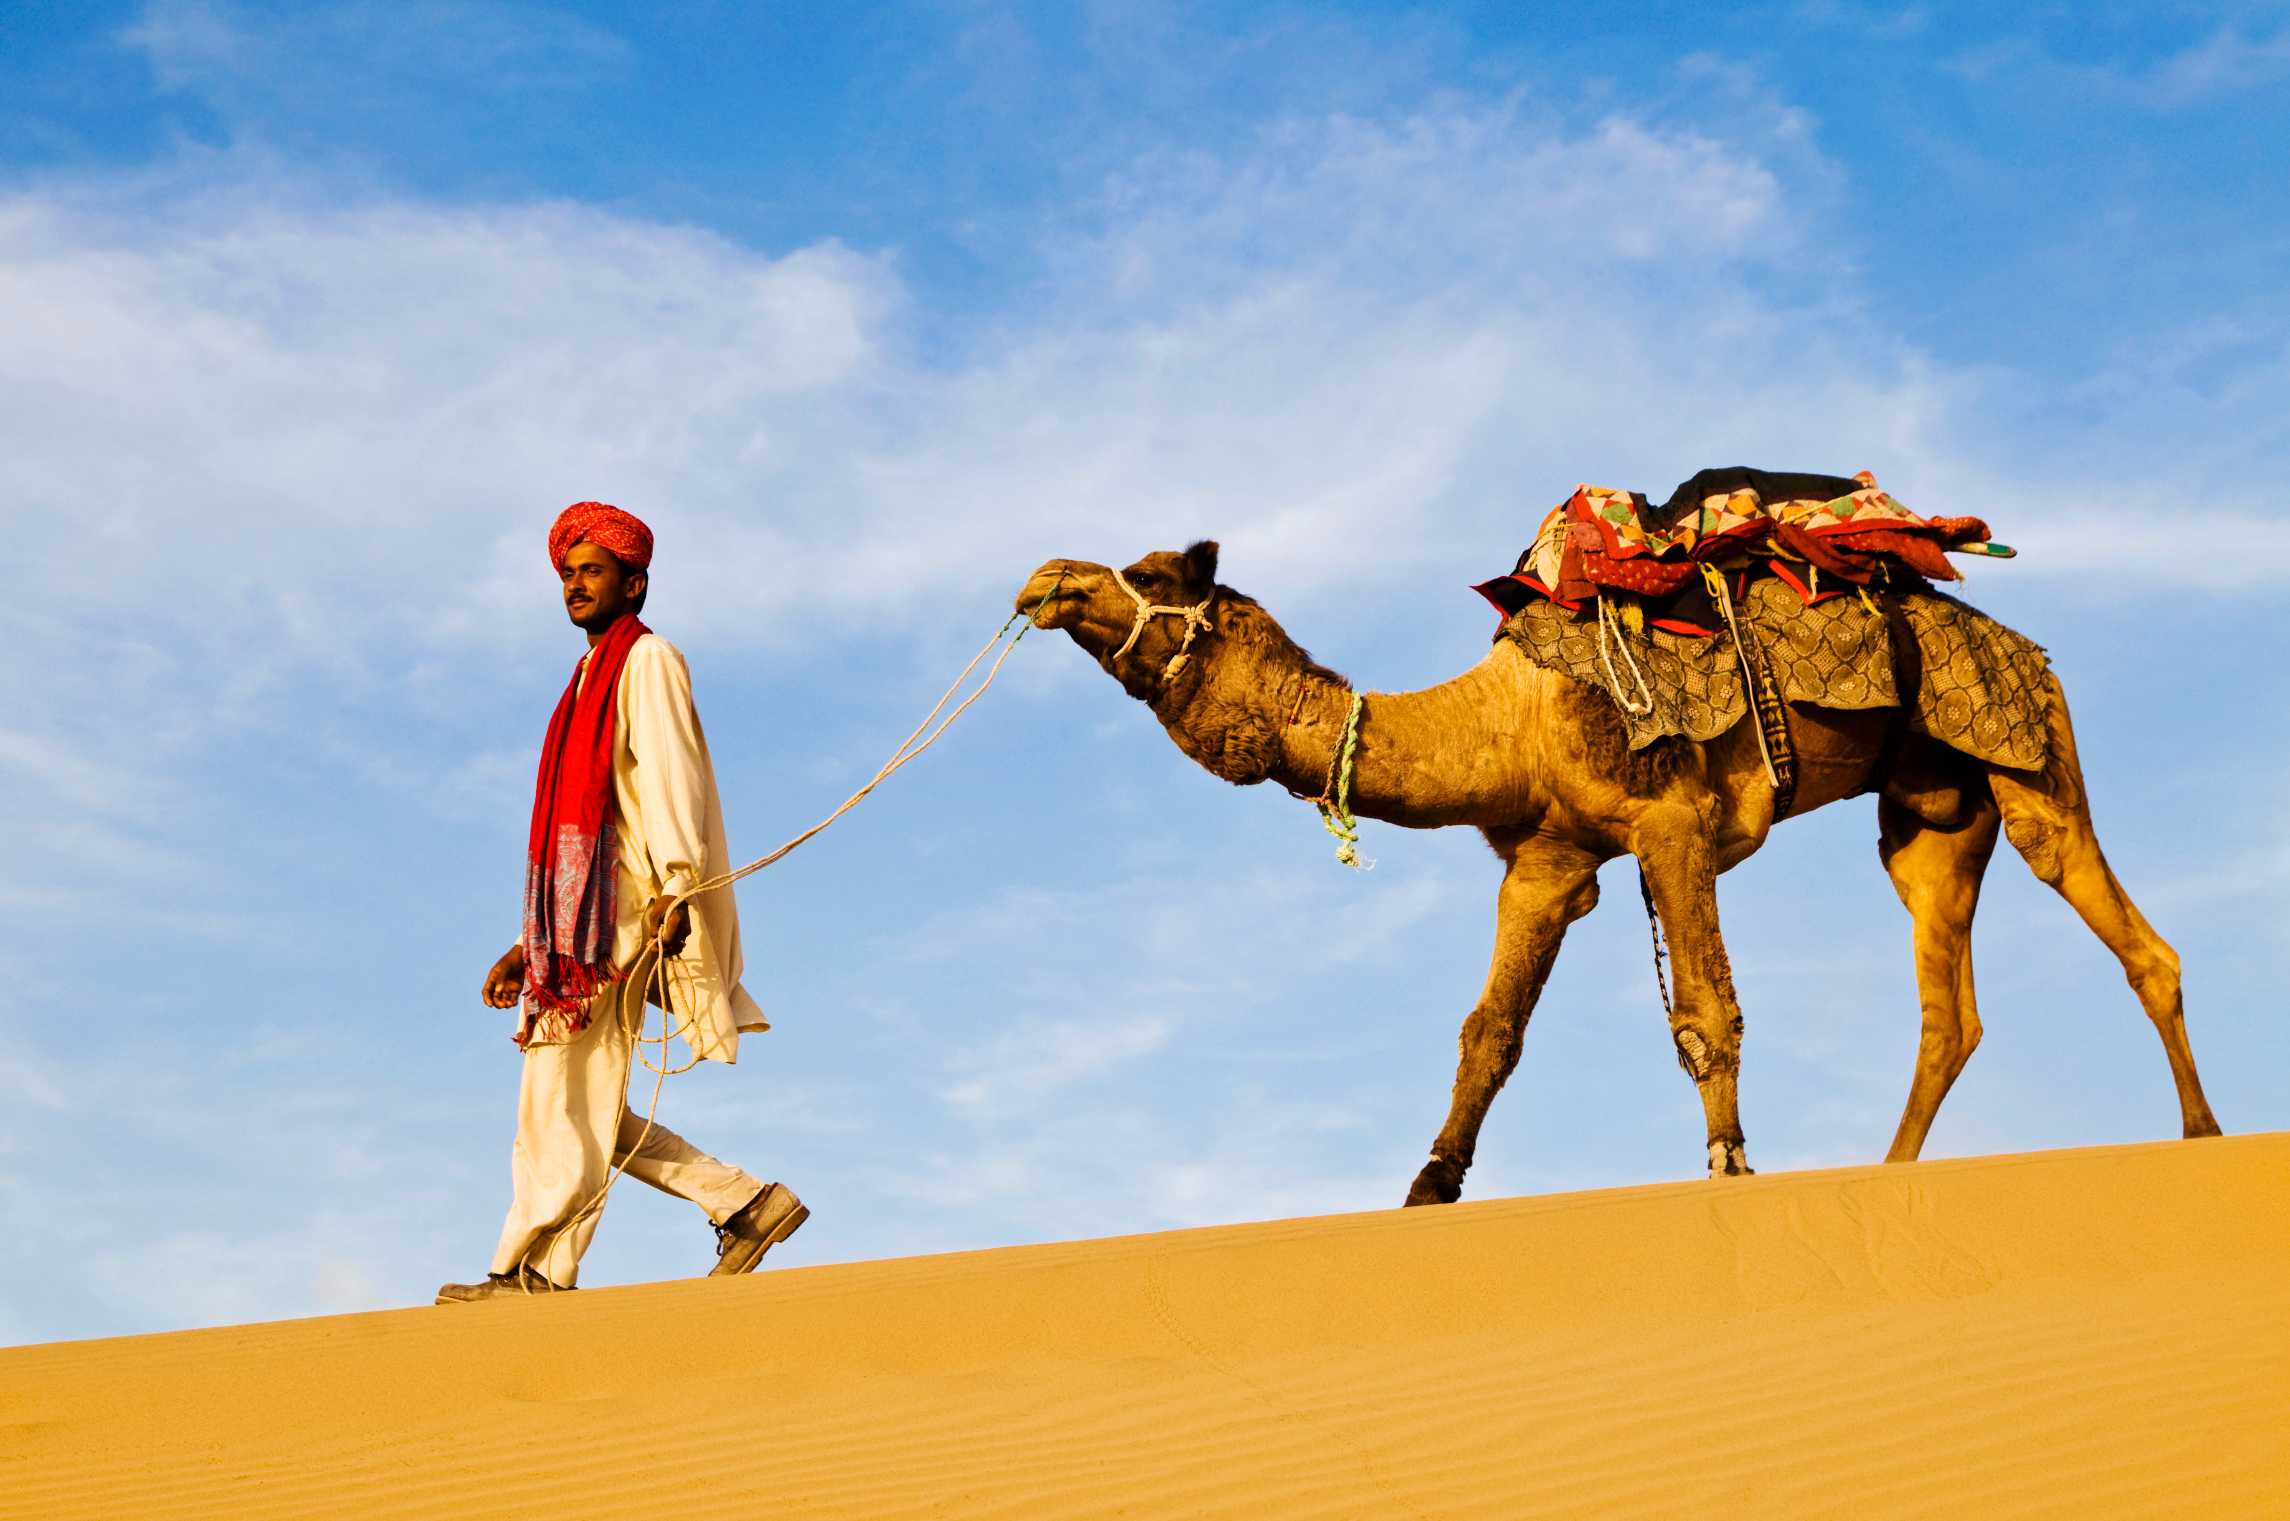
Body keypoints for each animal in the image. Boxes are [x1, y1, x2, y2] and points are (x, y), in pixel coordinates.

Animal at [1016, 541, 2221, 1203]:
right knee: (1949, 1010)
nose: (1045, 581)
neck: (1510, 720)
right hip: (1928, 817)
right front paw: (1426, 1188)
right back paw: (1889, 1171)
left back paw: (2203, 1138)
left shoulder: (1670, 822)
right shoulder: (1548, 861)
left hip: (2030, 752)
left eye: (1149, 574)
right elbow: (1488, 1034)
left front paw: (1729, 1166)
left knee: (2133, 936)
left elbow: (1706, 1014)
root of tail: (2028, 649)